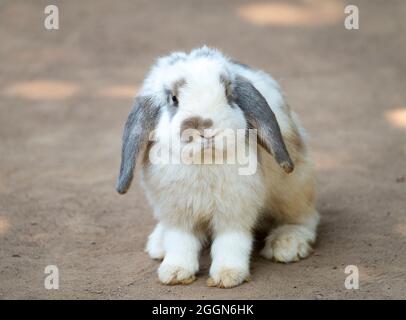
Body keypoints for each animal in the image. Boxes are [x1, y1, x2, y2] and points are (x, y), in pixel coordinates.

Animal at [116, 46, 318, 288]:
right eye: (173, 98)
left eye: (228, 93)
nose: (206, 129)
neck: (205, 161)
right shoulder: (177, 212)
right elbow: (180, 241)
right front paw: (174, 272)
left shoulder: (235, 208)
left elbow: (231, 241)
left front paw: (228, 275)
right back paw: (158, 244)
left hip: (292, 189)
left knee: (305, 217)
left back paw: (287, 244)